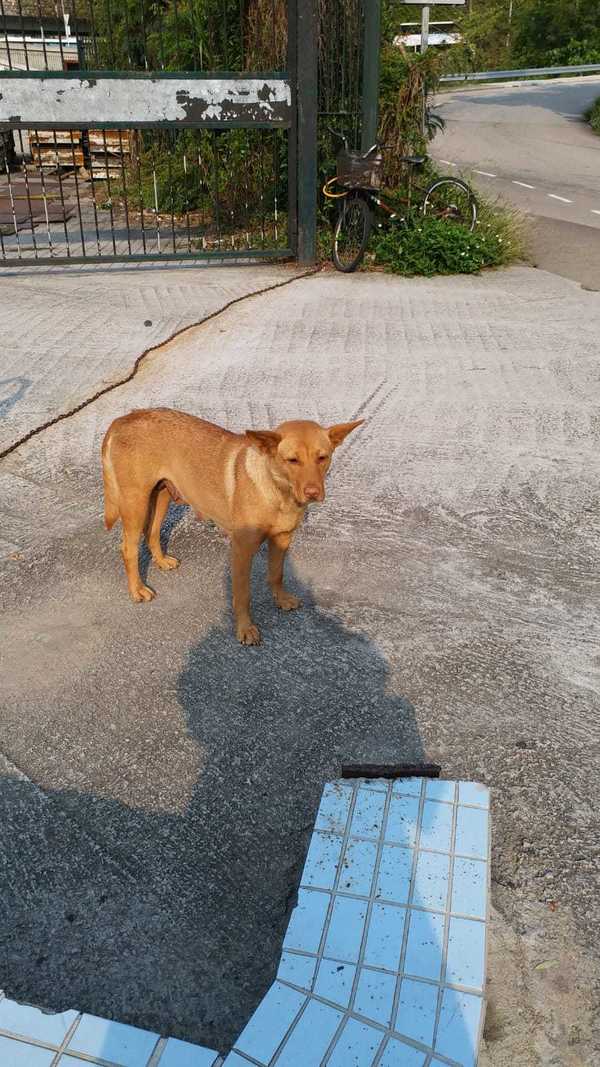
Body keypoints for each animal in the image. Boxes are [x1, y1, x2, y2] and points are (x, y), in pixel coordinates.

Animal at [101, 409, 363, 644]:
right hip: (135, 503)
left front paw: (281, 599)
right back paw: (137, 590)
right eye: (292, 460)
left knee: (152, 532)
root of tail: (123, 418)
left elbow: (277, 574)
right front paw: (245, 629)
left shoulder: (282, 539)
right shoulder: (241, 550)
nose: (313, 493)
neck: (277, 490)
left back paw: (162, 561)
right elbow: (243, 595)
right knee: (128, 548)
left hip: (162, 495)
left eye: (323, 457)